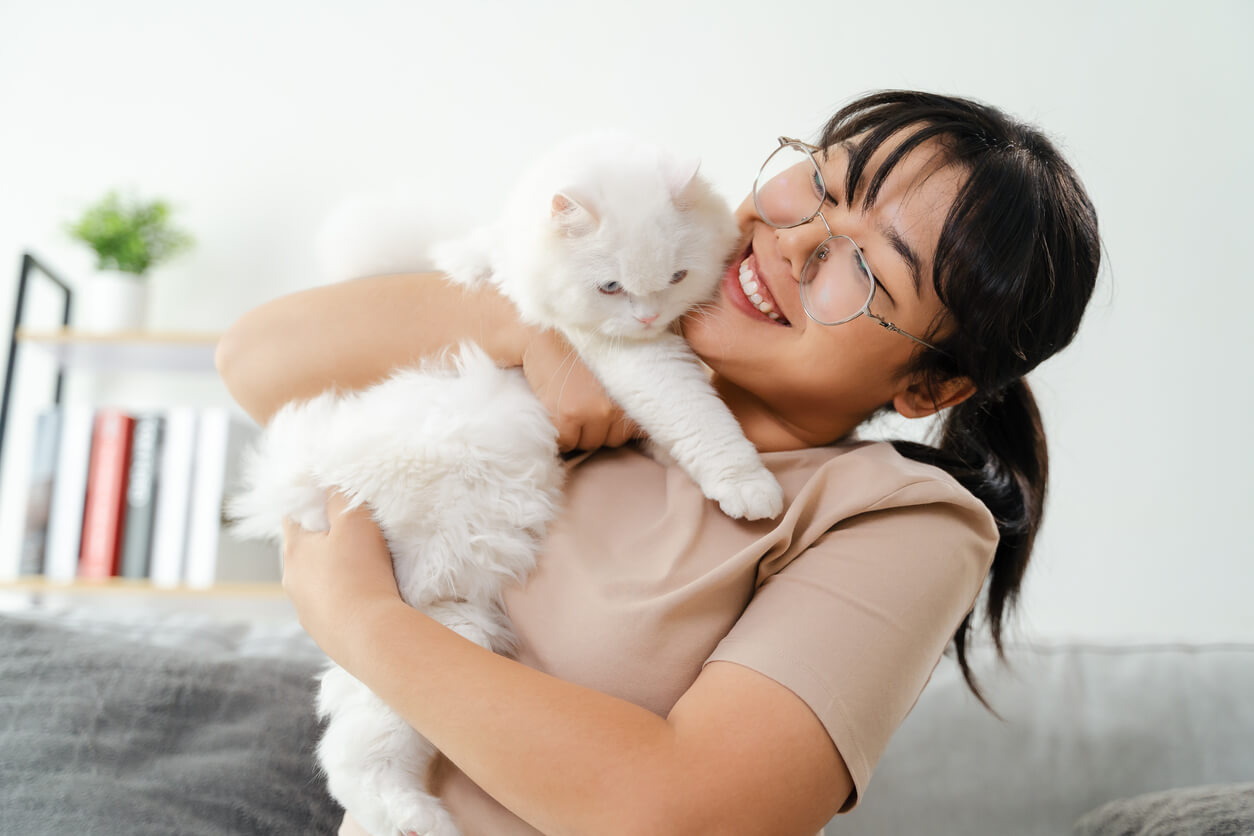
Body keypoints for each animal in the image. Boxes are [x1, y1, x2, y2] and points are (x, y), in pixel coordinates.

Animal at [433, 133, 782, 518]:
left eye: (677, 277)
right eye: (611, 287)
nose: (649, 318)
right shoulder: (632, 354)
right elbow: (697, 413)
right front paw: (747, 483)